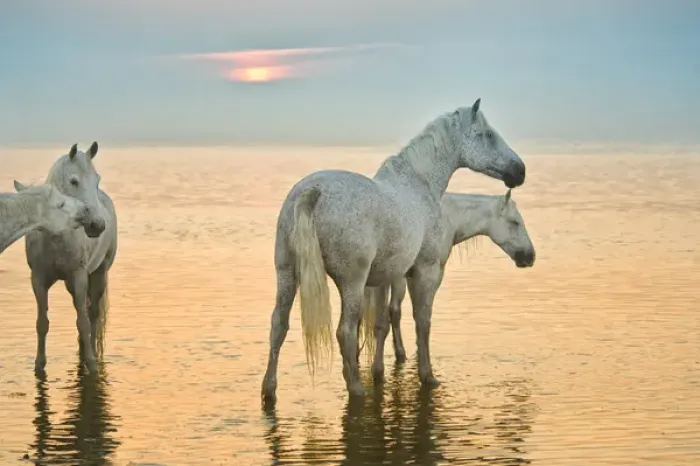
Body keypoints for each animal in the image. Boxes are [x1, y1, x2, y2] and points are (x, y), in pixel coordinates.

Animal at [23, 142, 118, 374]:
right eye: (74, 181)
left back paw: (90, 354)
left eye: (97, 180)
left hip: (99, 273)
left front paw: (91, 365)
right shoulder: (38, 279)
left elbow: (83, 322)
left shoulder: (79, 275)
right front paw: (39, 365)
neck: (56, 237)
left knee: (92, 315)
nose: (97, 225)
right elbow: (42, 322)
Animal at [363, 189, 536, 380]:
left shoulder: (410, 276)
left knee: (390, 313)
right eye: (515, 222)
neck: (447, 218)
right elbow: (422, 320)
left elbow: (411, 316)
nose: (530, 256)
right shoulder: (429, 274)